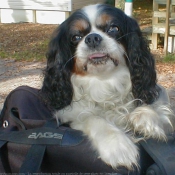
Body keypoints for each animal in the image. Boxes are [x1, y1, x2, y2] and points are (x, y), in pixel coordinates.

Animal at [41, 4, 174, 170]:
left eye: (113, 28)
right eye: (76, 37)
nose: (92, 38)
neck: (105, 81)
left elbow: (158, 110)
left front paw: (145, 118)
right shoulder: (71, 117)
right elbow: (93, 118)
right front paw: (117, 146)